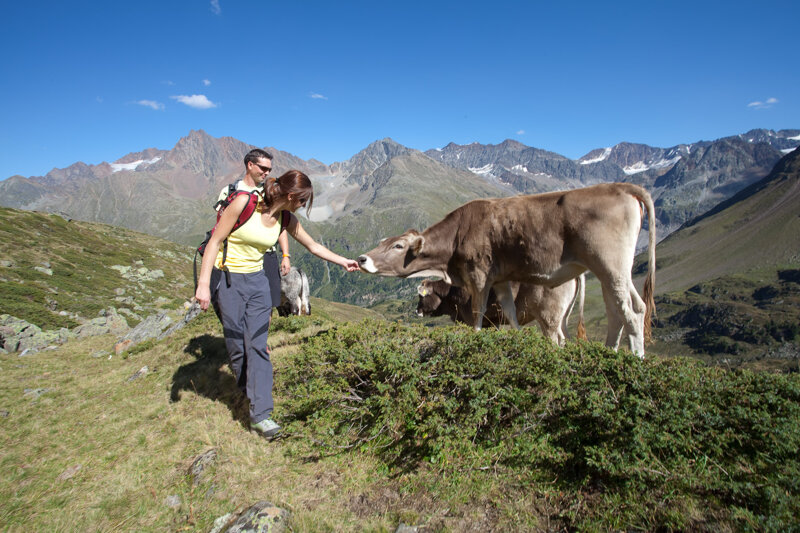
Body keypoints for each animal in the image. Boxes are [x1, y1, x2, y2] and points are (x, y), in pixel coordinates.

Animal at [416, 275, 586, 345]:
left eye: (420, 296)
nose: (417, 311)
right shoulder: (492, 321)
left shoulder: (473, 318)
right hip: (562, 316)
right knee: (565, 337)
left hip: (548, 316)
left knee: (556, 339)